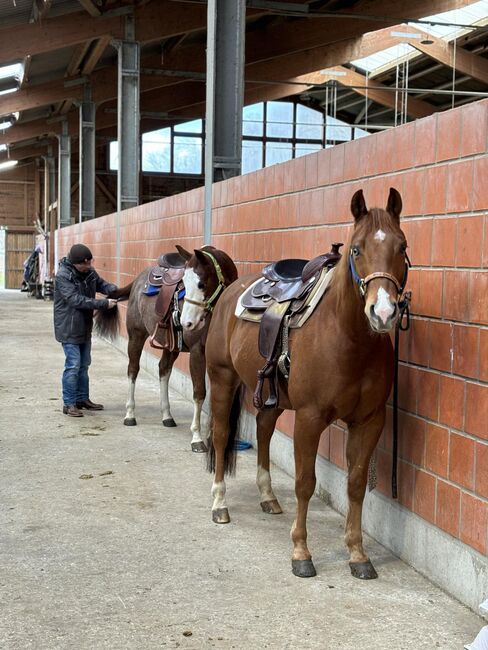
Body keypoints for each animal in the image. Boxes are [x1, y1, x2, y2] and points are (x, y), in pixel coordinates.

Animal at [95, 243, 236, 450]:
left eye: (201, 284)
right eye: (184, 281)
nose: (187, 323)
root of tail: (138, 279)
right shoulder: (197, 353)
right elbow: (199, 392)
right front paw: (197, 438)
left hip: (171, 347)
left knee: (163, 370)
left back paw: (167, 416)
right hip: (136, 336)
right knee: (133, 370)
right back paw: (130, 414)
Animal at [183, 187, 408, 576]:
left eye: (402, 246)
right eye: (357, 249)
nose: (383, 313)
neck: (348, 337)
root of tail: (231, 291)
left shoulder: (370, 421)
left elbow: (356, 484)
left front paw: (358, 554)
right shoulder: (309, 417)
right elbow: (305, 483)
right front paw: (301, 552)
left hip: (271, 398)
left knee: (262, 430)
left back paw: (268, 497)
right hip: (223, 379)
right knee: (222, 436)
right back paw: (219, 505)